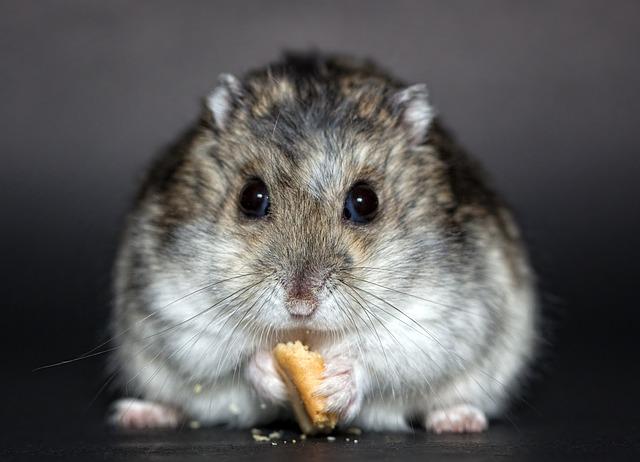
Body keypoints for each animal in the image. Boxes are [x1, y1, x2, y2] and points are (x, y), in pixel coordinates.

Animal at [109, 54, 536, 434]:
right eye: (251, 197)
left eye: (365, 202)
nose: (301, 305)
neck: (310, 335)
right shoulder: (176, 310)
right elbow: (234, 357)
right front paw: (269, 370)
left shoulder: (438, 319)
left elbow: (381, 359)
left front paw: (335, 384)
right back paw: (139, 414)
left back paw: (458, 420)